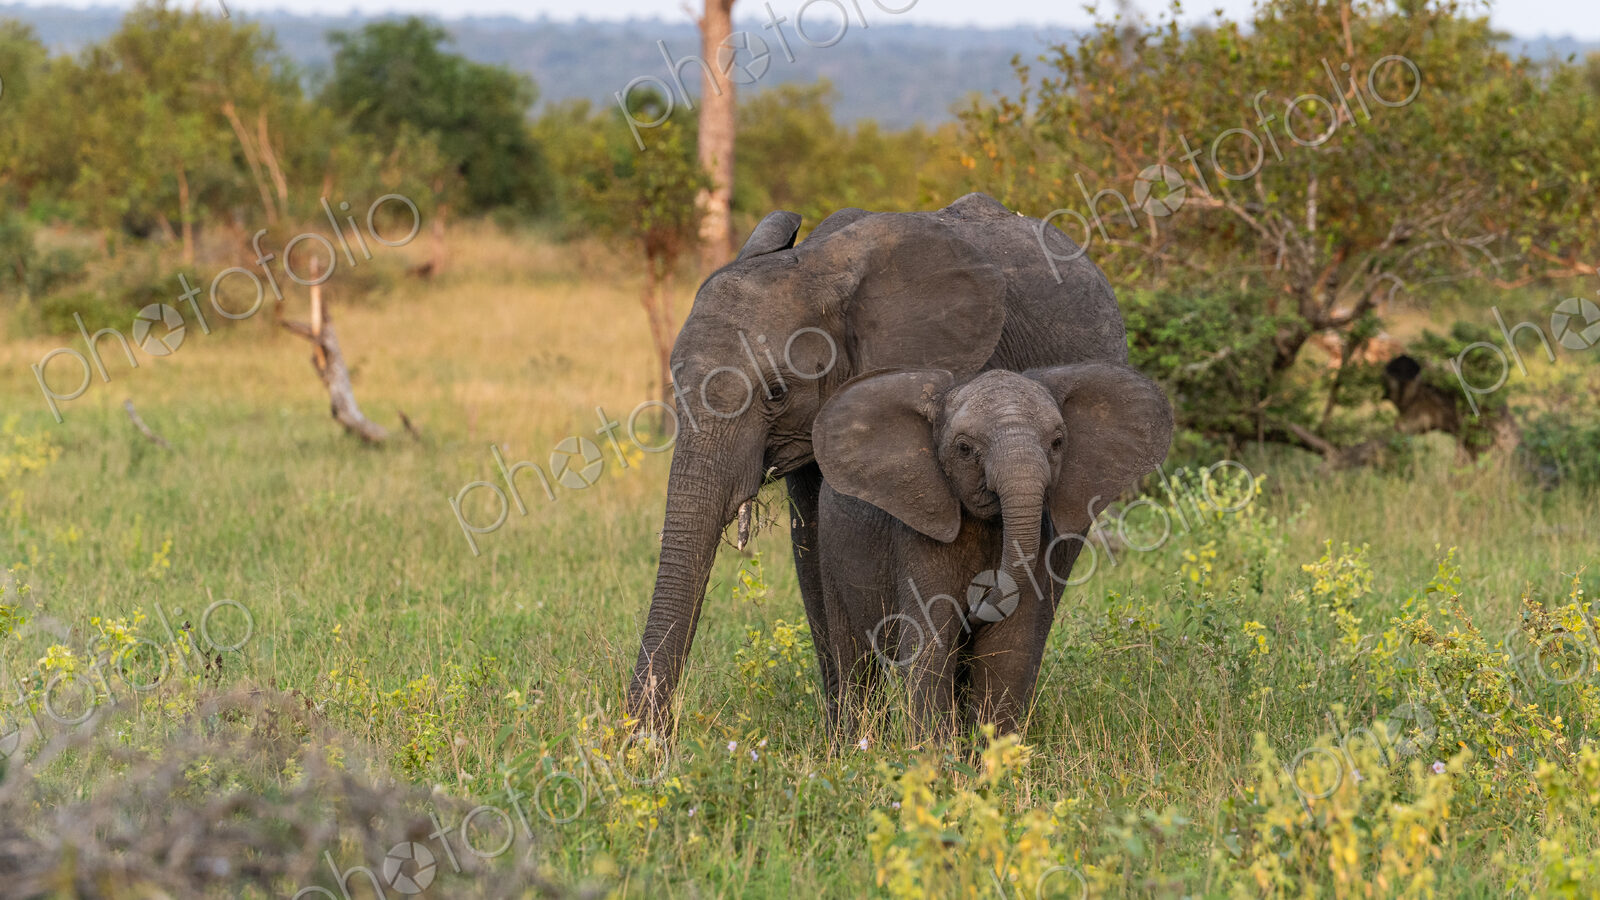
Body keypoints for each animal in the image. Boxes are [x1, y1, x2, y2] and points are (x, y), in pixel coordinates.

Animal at [810, 364, 1173, 740]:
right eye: (964, 448)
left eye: (1057, 443)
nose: (975, 606)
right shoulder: (918, 544)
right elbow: (928, 646)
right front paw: (935, 755)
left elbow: (1006, 651)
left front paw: (993, 753)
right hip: (830, 549)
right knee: (855, 662)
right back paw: (856, 746)